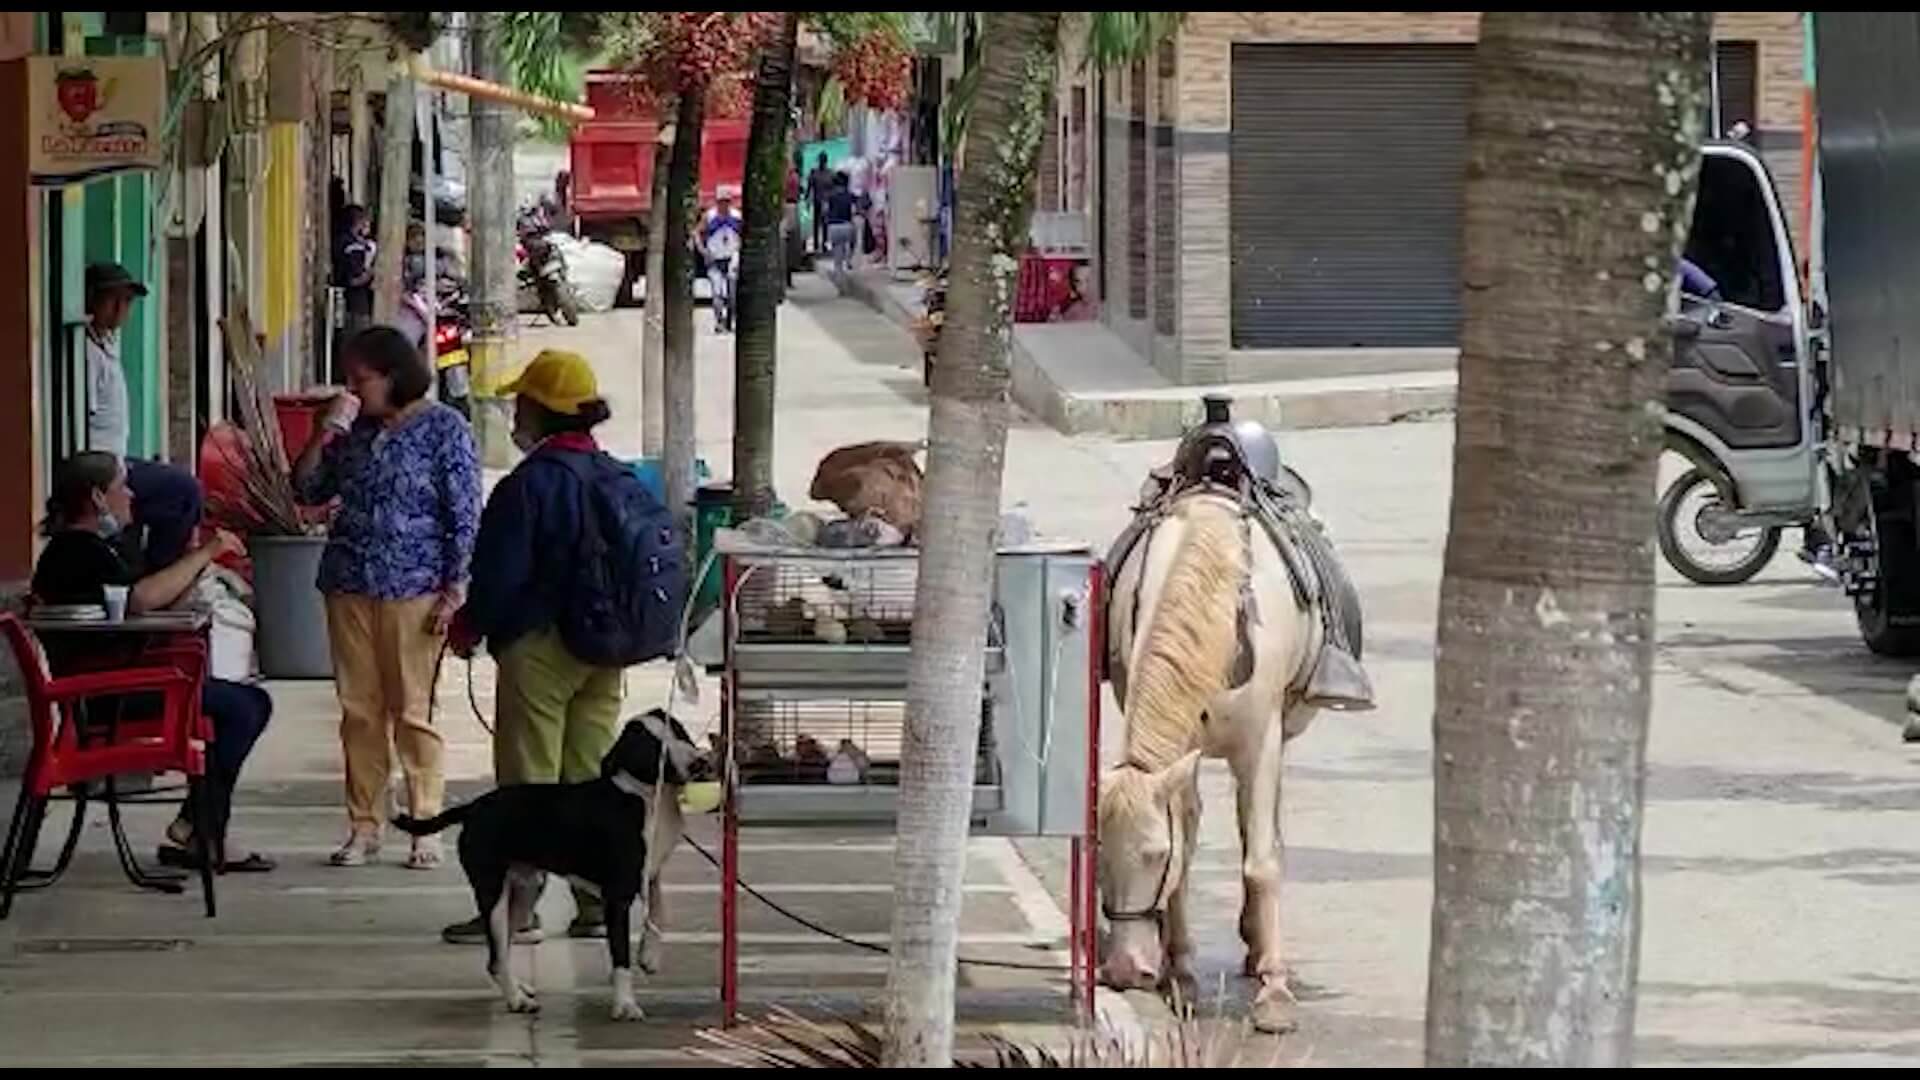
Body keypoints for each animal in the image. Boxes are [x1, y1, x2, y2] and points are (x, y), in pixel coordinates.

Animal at [393, 707, 710, 1014]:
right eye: (651, 749)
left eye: (678, 730)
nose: (699, 763)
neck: (647, 798)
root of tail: (472, 807)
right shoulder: (617, 895)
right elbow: (621, 957)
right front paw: (625, 1004)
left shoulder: (649, 875)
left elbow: (659, 912)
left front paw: (649, 956)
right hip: (493, 894)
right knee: (497, 955)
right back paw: (517, 1001)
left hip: (524, 892)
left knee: (500, 954)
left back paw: (521, 989)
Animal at [1105, 488, 1313, 1022]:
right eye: (1096, 852)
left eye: (1155, 854)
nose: (1124, 972)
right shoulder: (1182, 755)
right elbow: (1189, 855)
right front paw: (1180, 975)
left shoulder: (1262, 741)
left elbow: (1261, 861)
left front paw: (1275, 993)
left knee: (1259, 831)